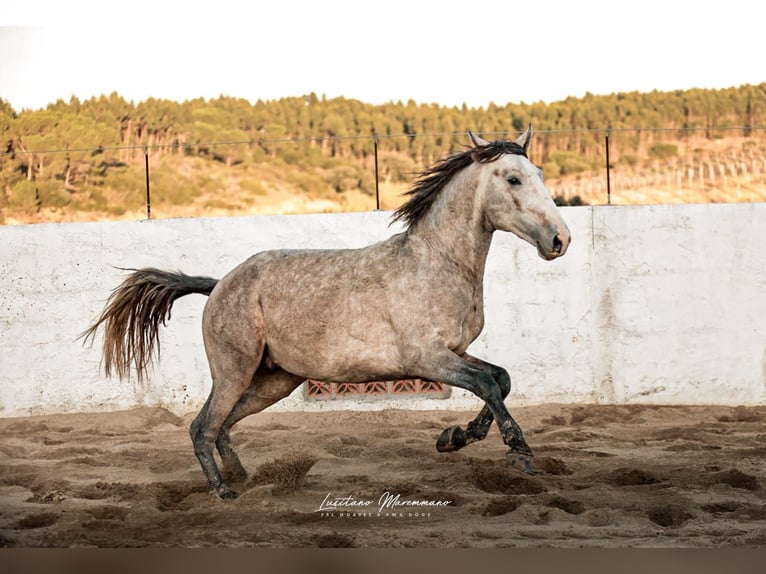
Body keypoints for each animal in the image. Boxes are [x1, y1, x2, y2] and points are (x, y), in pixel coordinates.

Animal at [80, 125, 571, 499]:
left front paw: (453, 438)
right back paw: (224, 491)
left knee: (222, 426)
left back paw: (244, 476)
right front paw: (517, 452)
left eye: (539, 173)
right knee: (202, 427)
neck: (437, 261)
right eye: (513, 179)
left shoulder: (455, 351)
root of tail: (220, 284)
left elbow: (501, 379)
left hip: (274, 381)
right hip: (235, 371)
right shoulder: (427, 358)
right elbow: (487, 384)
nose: (560, 240)